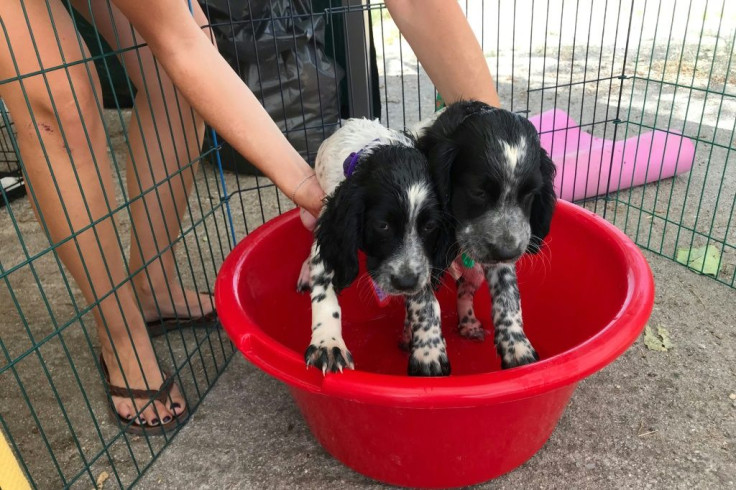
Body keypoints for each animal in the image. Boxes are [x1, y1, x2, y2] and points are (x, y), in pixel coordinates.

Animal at [300, 117, 454, 376]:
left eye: (430, 226)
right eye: (382, 225)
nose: (404, 282)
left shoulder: (422, 262)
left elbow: (426, 300)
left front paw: (429, 347)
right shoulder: (330, 233)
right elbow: (324, 292)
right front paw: (328, 344)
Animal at [416, 100, 556, 368]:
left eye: (529, 193)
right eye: (478, 192)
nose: (507, 252)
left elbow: (508, 295)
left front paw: (517, 345)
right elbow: (423, 300)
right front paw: (428, 351)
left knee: (465, 289)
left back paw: (468, 323)